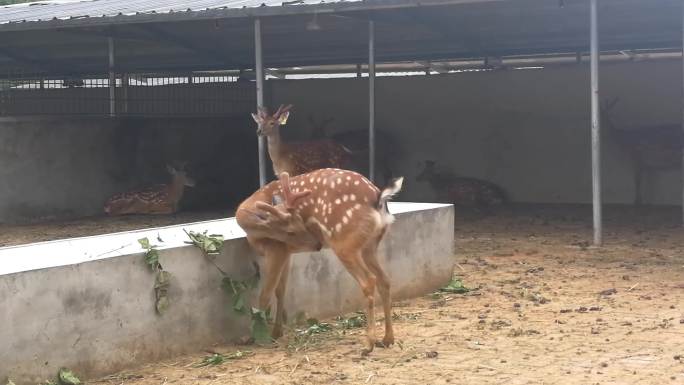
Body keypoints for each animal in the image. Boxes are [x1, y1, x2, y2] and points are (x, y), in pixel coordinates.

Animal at [238, 166, 404, 352]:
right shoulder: (287, 252)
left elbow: (265, 294)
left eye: (300, 223)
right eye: (291, 231)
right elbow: (280, 290)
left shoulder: (276, 249)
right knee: (385, 280)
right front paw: (276, 332)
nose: (317, 244)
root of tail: (378, 198)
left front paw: (258, 336)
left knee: (369, 281)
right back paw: (387, 339)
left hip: (344, 243)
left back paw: (369, 344)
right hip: (370, 245)